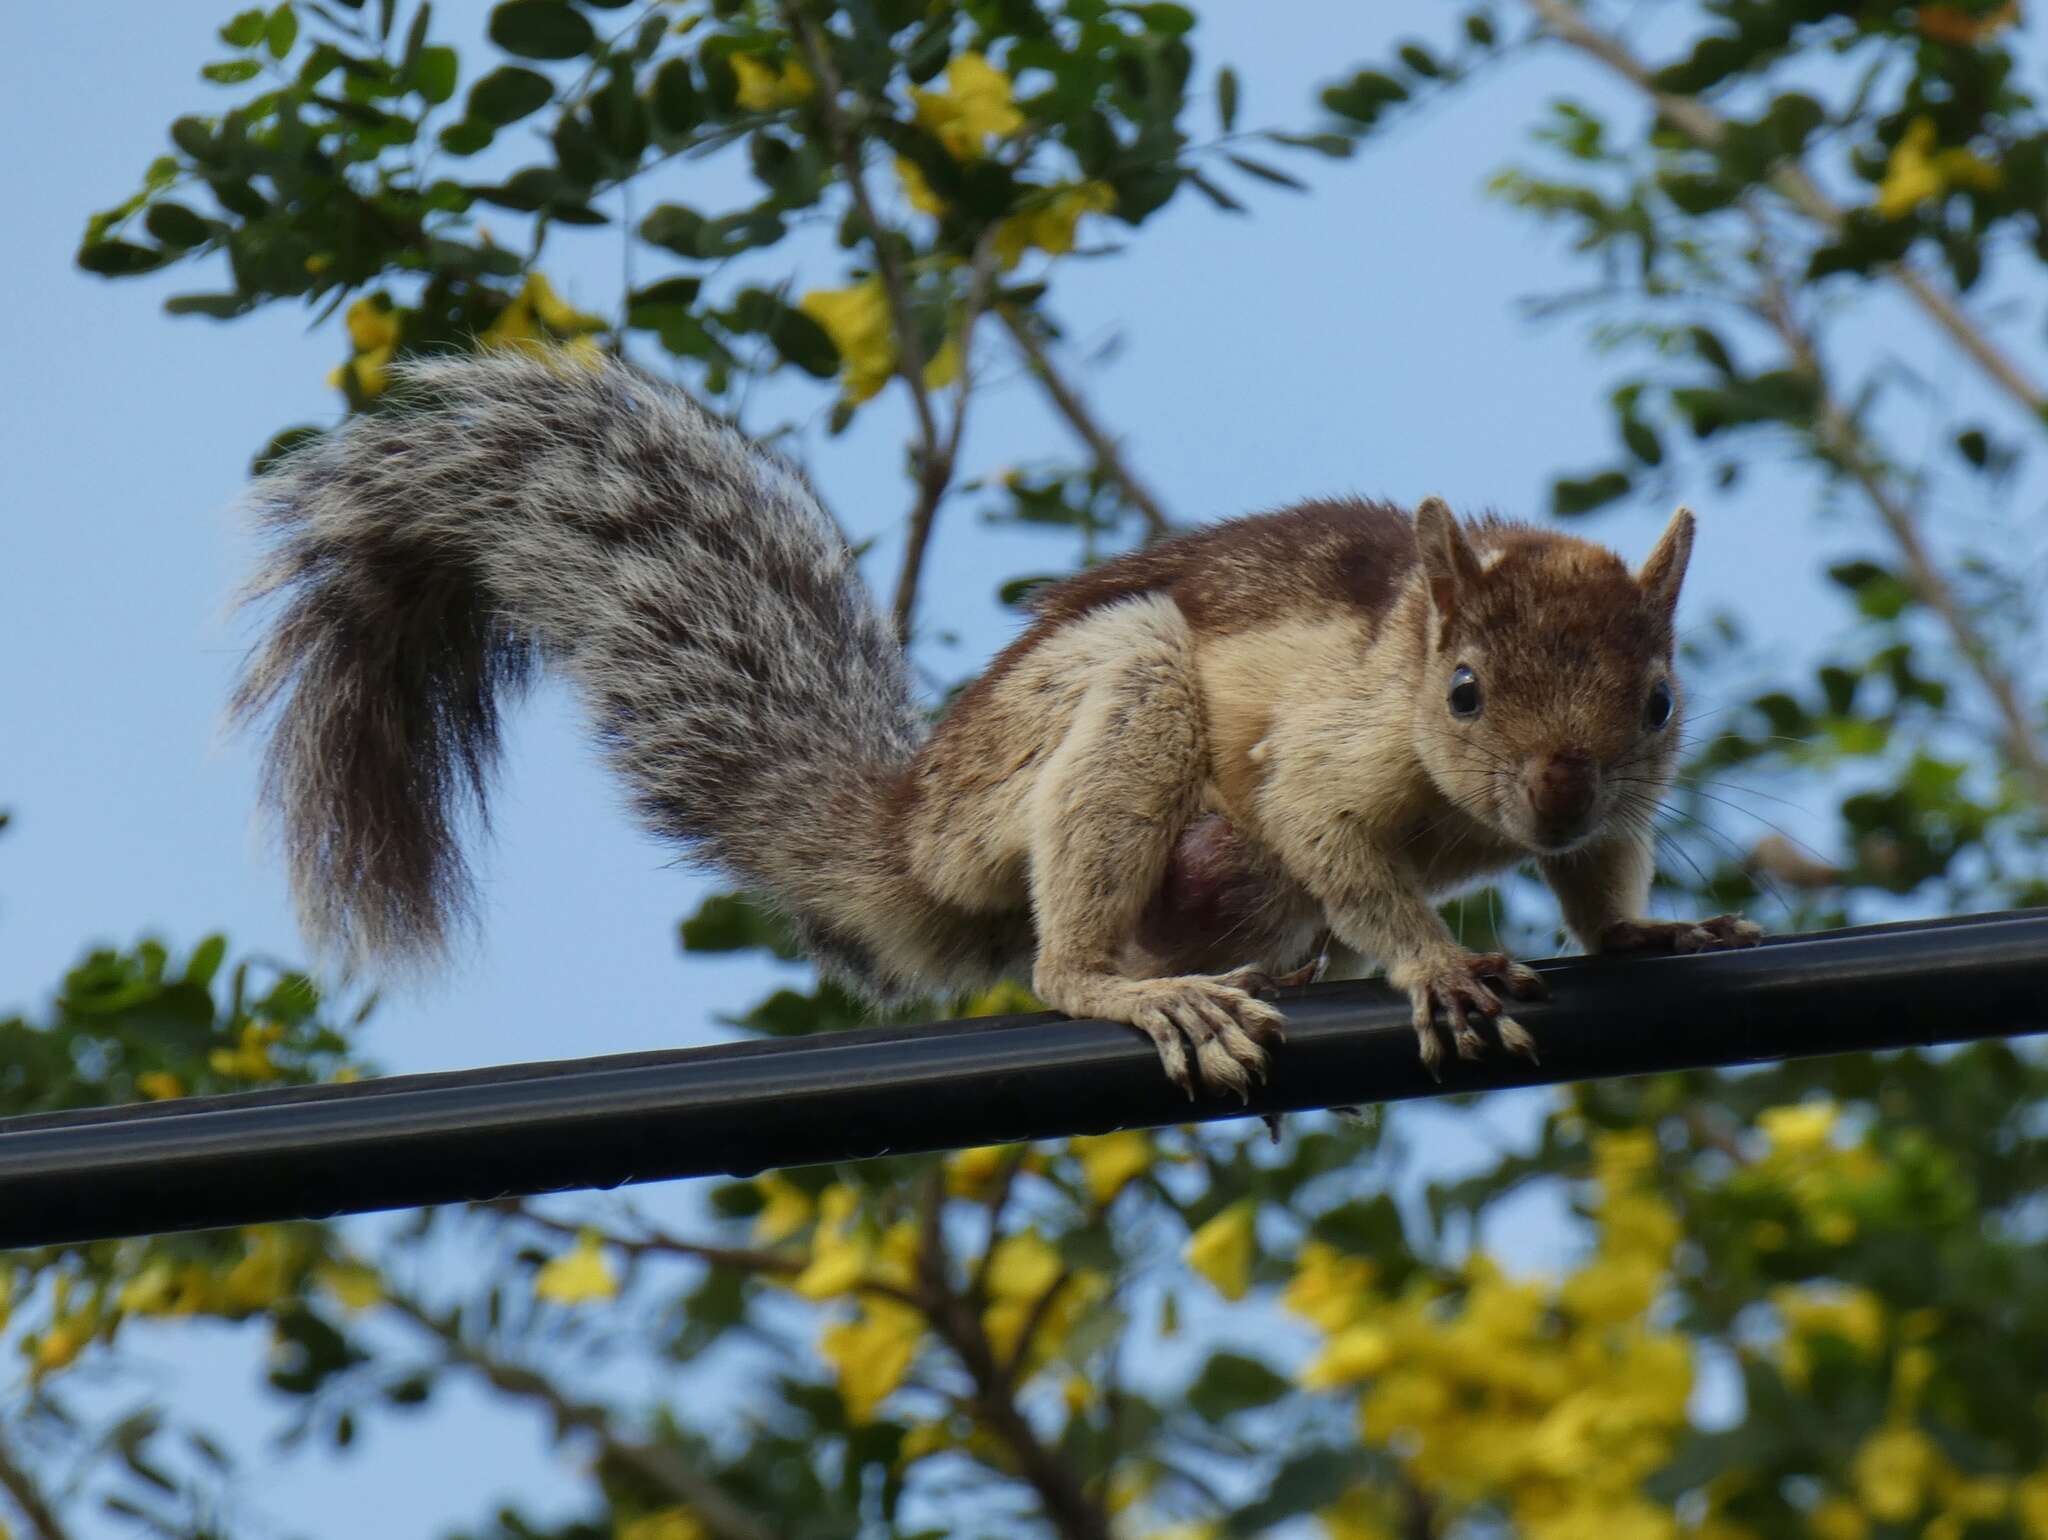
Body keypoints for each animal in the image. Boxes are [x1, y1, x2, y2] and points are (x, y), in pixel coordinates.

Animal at [228, 352, 1761, 1097]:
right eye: (1463, 692)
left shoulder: (1608, 810)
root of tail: (907, 833)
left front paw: (1645, 929)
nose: (1553, 792)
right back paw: (1131, 988)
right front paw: (1436, 965)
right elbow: (1335, 835)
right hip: (1103, 717)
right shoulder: (1330, 756)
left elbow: (1601, 879)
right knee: (1062, 952)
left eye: (1659, 698)